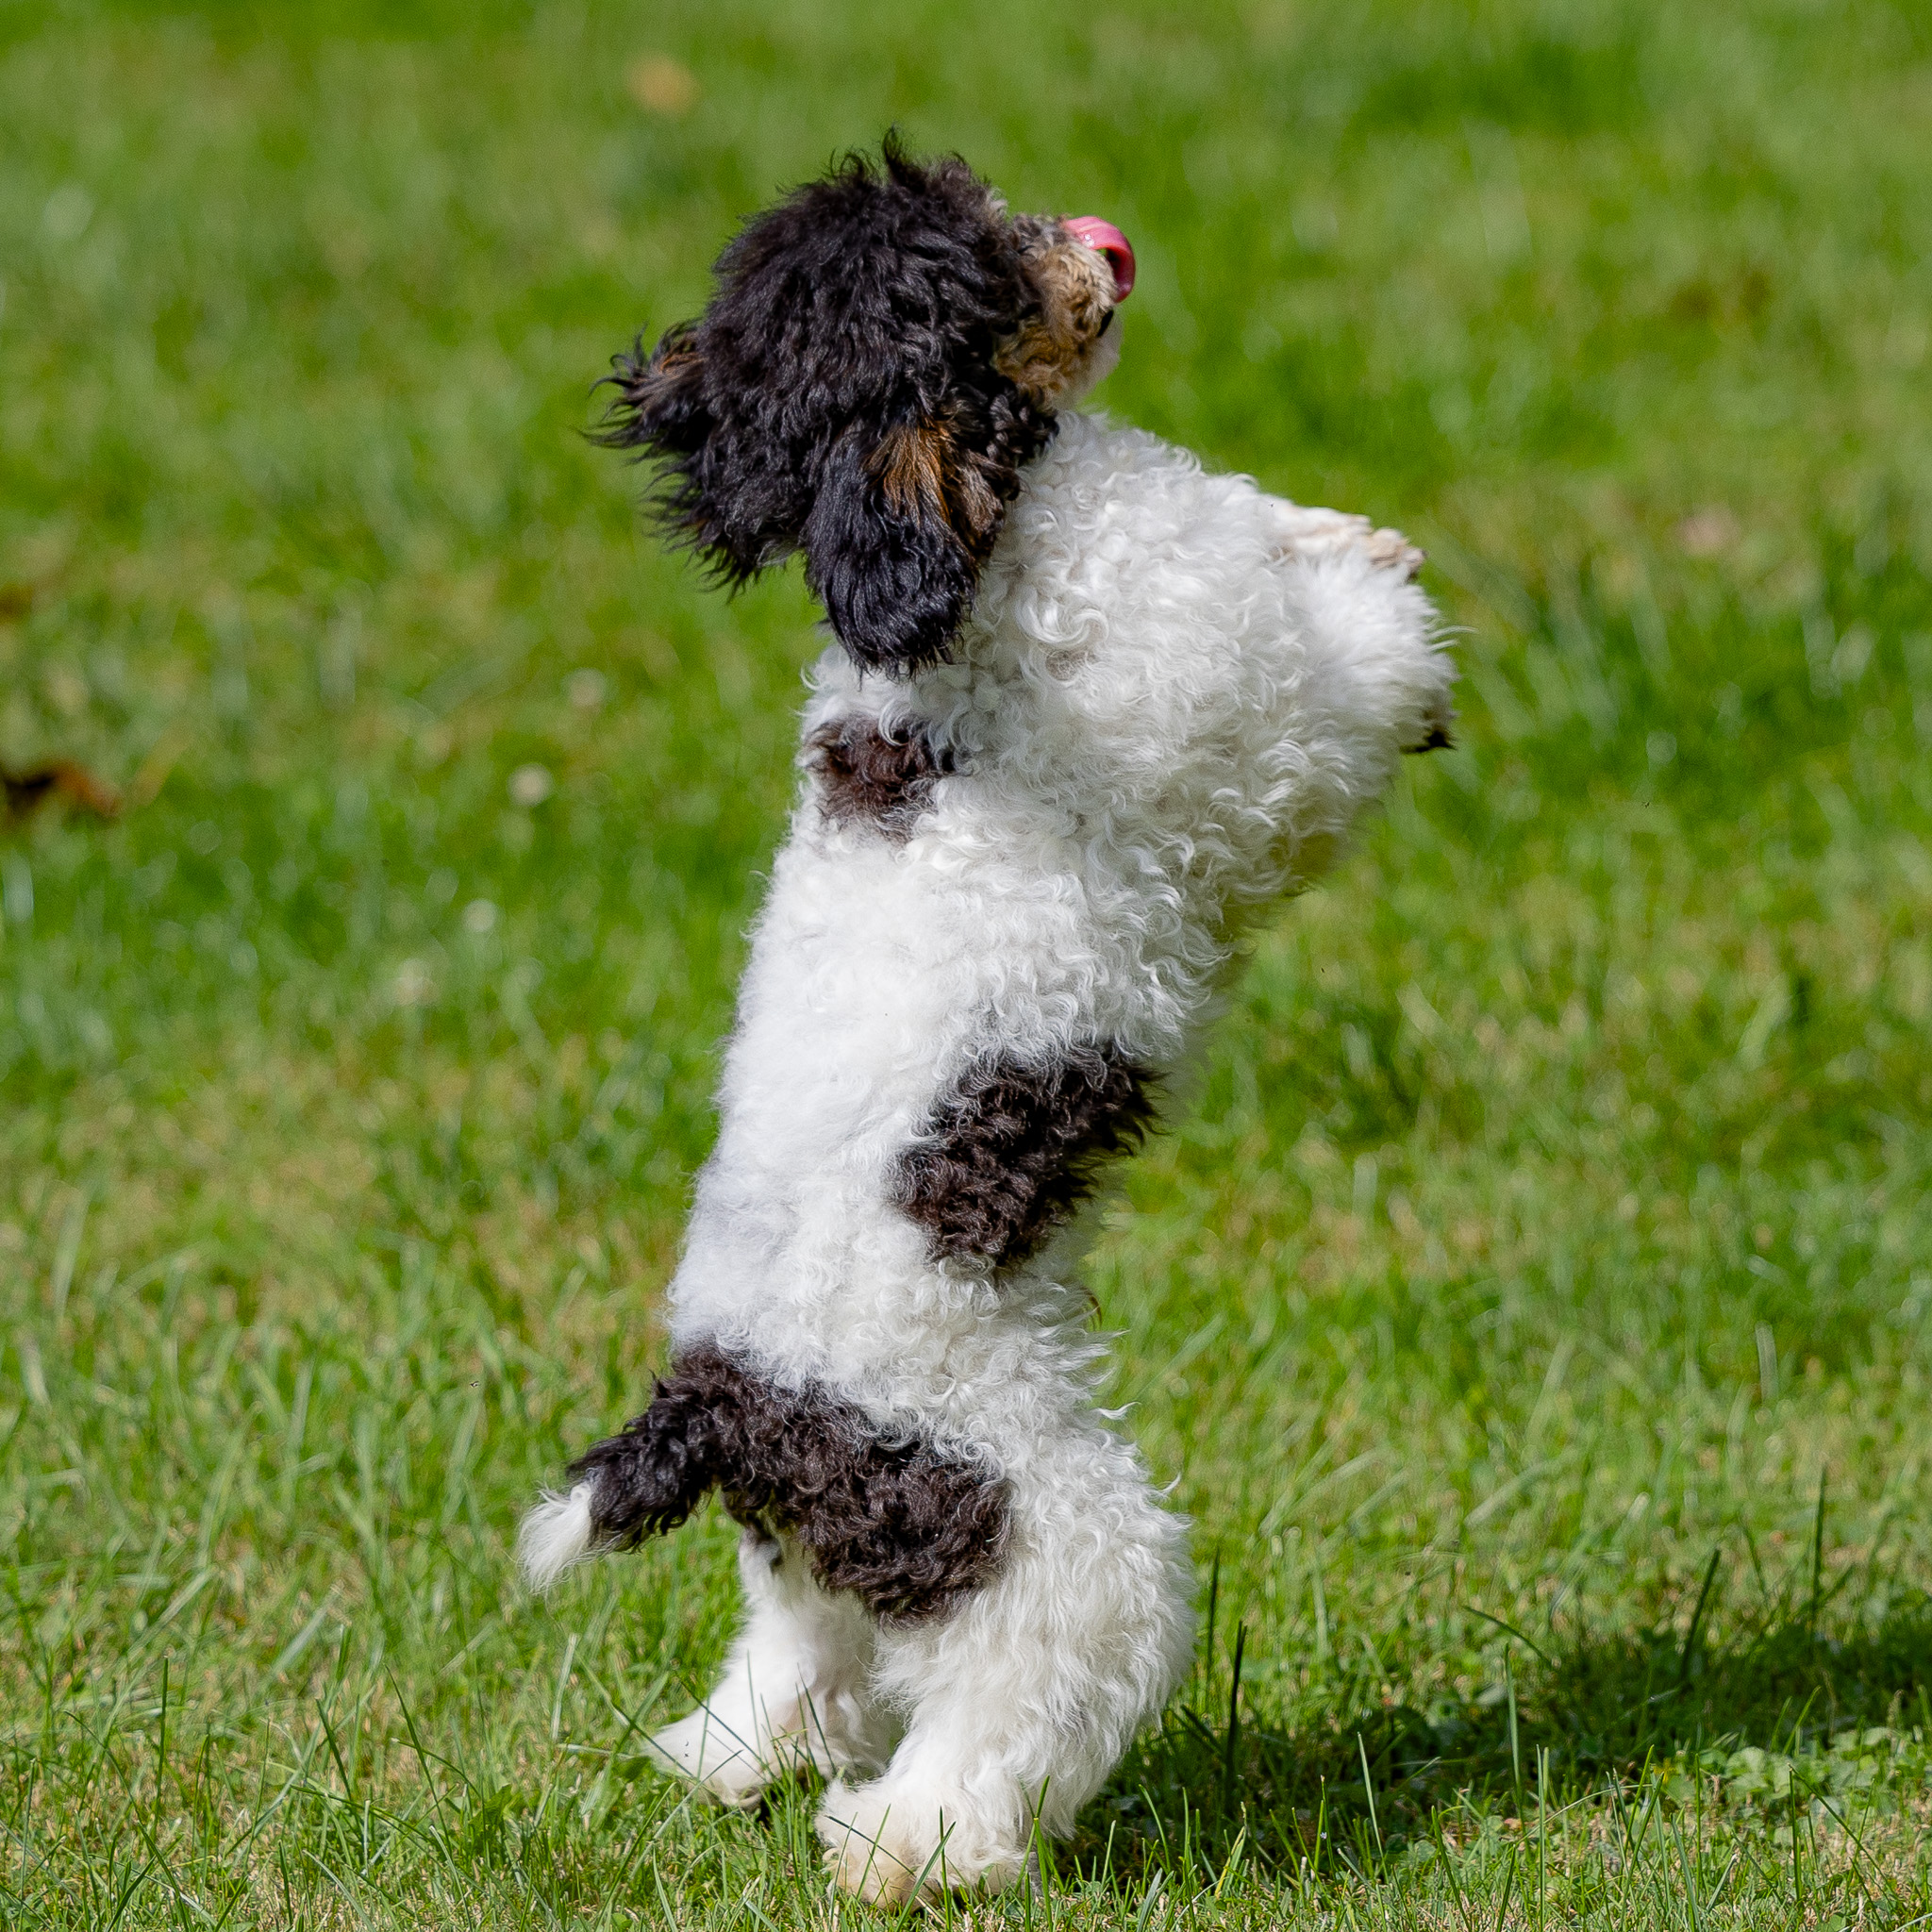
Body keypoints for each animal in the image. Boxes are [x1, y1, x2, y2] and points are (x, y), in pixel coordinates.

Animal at [513, 142, 1453, 1908]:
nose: (1108, 238)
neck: (979, 547)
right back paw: (914, 1850)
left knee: (791, 1664)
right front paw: (1381, 590)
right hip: (1038, 1532)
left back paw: (721, 1766)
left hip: (829, 1549)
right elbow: (1331, 671)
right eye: (980, 265)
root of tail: (719, 1397)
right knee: (1004, 1707)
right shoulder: (1230, 705)